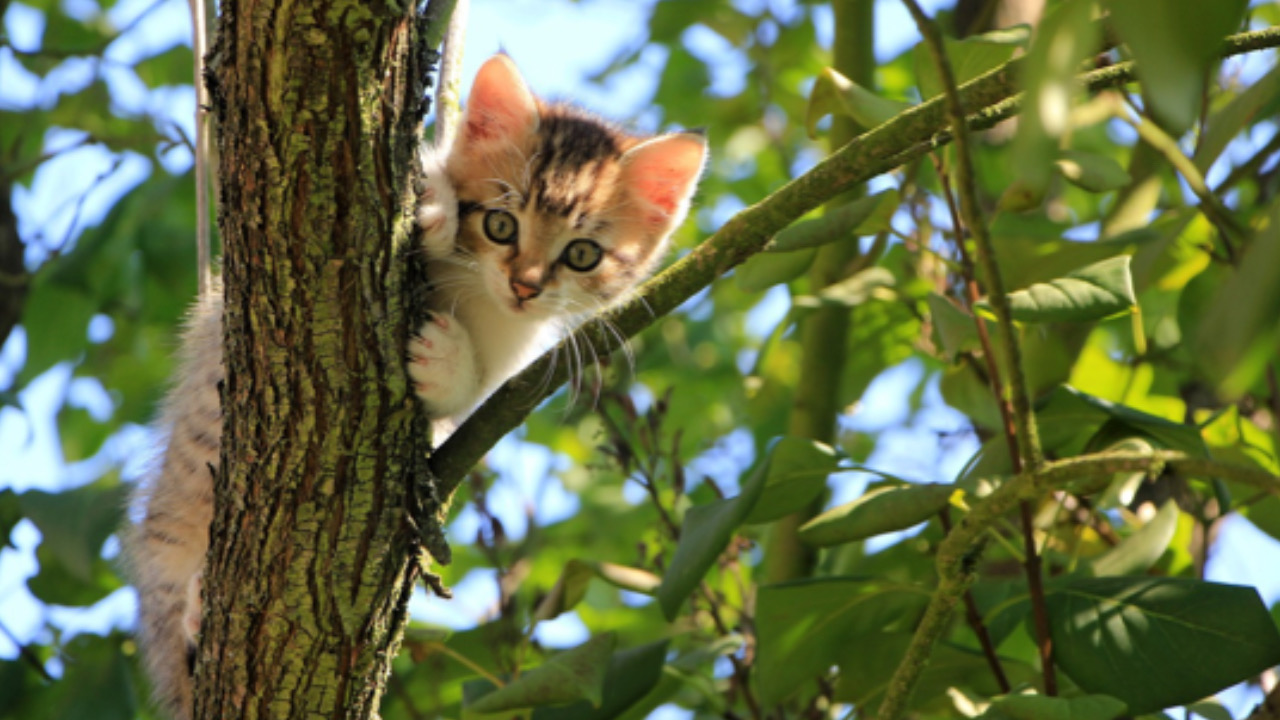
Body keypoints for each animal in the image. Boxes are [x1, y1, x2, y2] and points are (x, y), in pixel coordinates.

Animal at [124, 51, 706, 717]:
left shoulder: (508, 360)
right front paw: (432, 204)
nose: (525, 286)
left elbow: (470, 394)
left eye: (582, 254)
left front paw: (446, 360)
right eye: (501, 223)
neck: (476, 292)